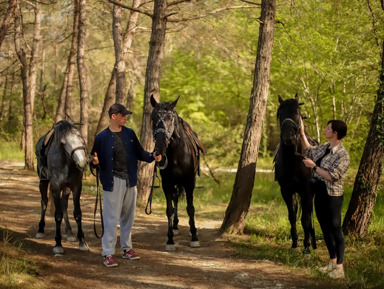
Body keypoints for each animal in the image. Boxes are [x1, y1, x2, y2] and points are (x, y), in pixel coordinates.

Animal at [34, 119, 89, 254]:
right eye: (64, 142)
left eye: (80, 137)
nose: (82, 162)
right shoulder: (55, 186)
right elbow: (57, 215)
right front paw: (58, 244)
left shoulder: (76, 186)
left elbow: (77, 213)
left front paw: (82, 242)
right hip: (43, 182)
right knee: (44, 202)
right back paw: (40, 230)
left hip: (66, 188)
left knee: (64, 204)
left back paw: (69, 232)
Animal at [150, 95, 204, 251]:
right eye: (153, 117)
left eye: (170, 118)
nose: (160, 146)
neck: (177, 154)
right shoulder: (167, 183)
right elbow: (169, 209)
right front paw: (170, 240)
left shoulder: (189, 182)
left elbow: (190, 208)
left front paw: (194, 237)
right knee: (175, 200)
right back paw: (174, 226)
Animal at [274, 93, 316, 253]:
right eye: (280, 114)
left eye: (297, 112)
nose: (288, 137)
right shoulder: (287, 190)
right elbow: (292, 216)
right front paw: (295, 244)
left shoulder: (307, 190)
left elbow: (306, 219)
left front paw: (307, 247)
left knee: (308, 213)